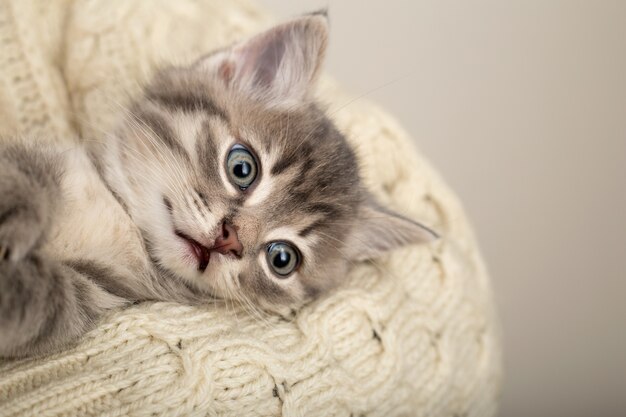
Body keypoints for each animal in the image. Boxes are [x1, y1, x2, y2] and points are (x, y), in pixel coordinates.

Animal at [0, 13, 434, 358]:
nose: (229, 240)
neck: (122, 219)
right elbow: (22, 181)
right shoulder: (38, 163)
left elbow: (40, 300)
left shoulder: (88, 292)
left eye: (282, 259)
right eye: (242, 167)